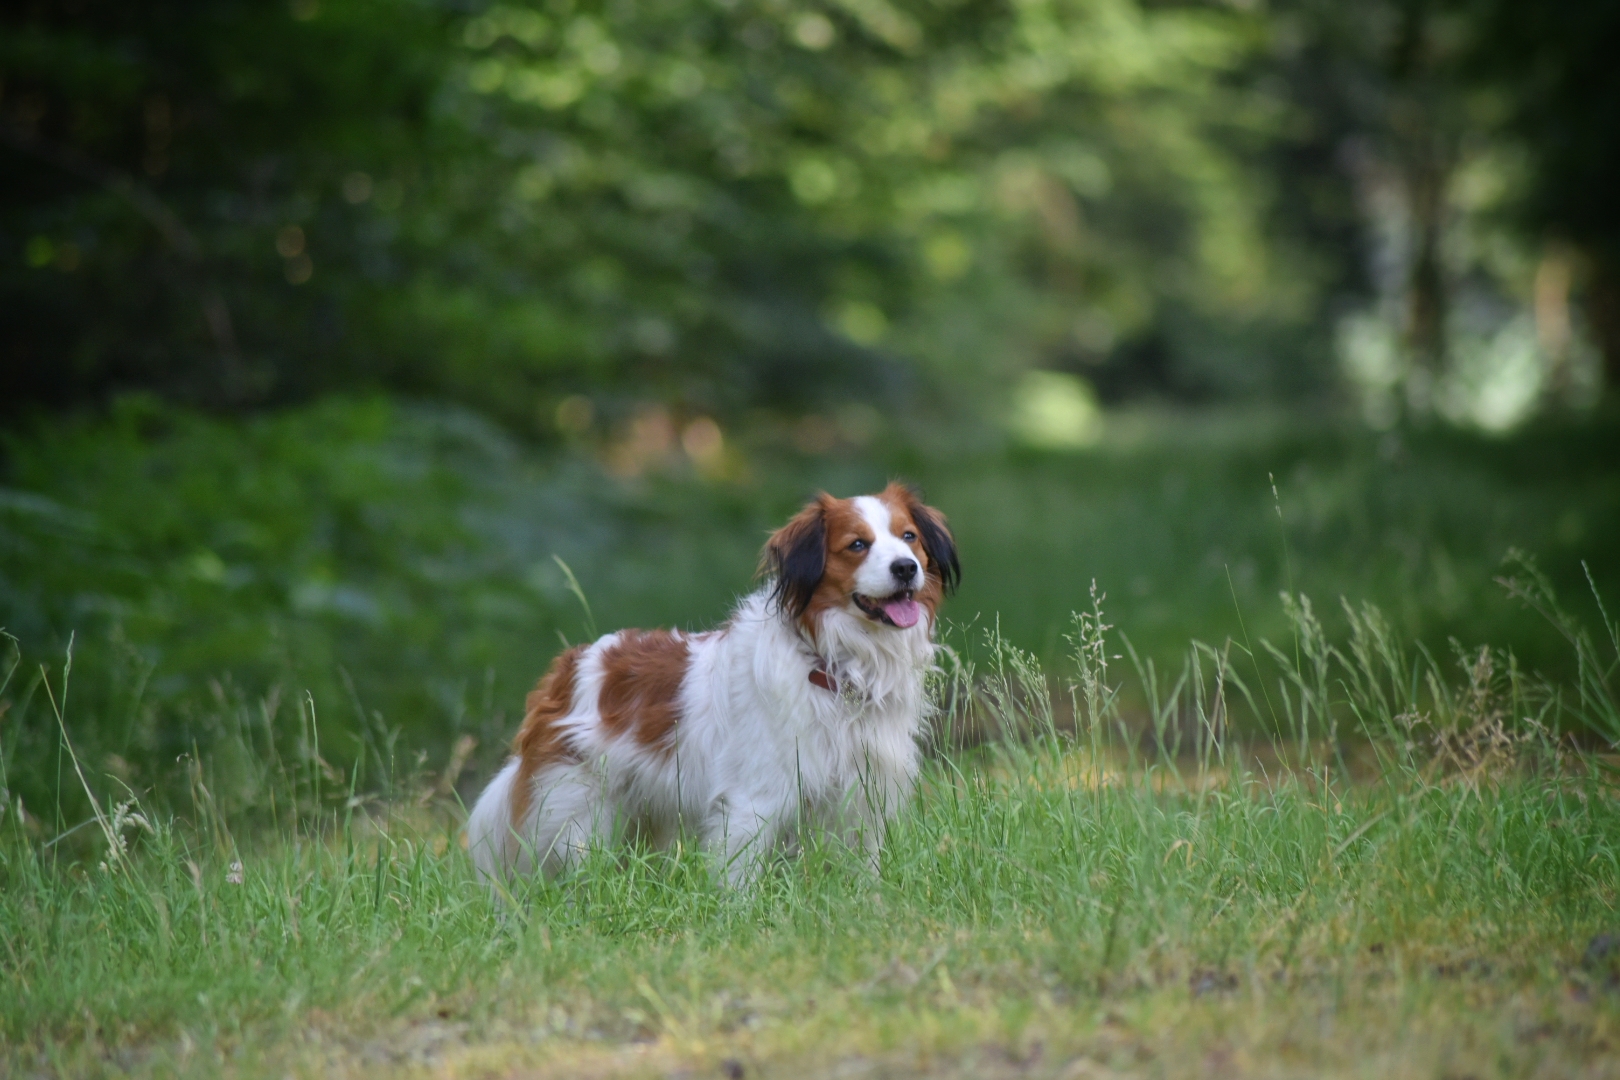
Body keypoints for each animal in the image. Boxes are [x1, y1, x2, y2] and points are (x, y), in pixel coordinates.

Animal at [463, 482, 952, 887]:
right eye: (857, 545)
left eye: (909, 537)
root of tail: (566, 668)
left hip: (646, 816)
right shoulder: (756, 802)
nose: (906, 568)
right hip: (580, 814)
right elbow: (740, 880)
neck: (834, 665)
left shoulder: (863, 795)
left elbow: (864, 865)